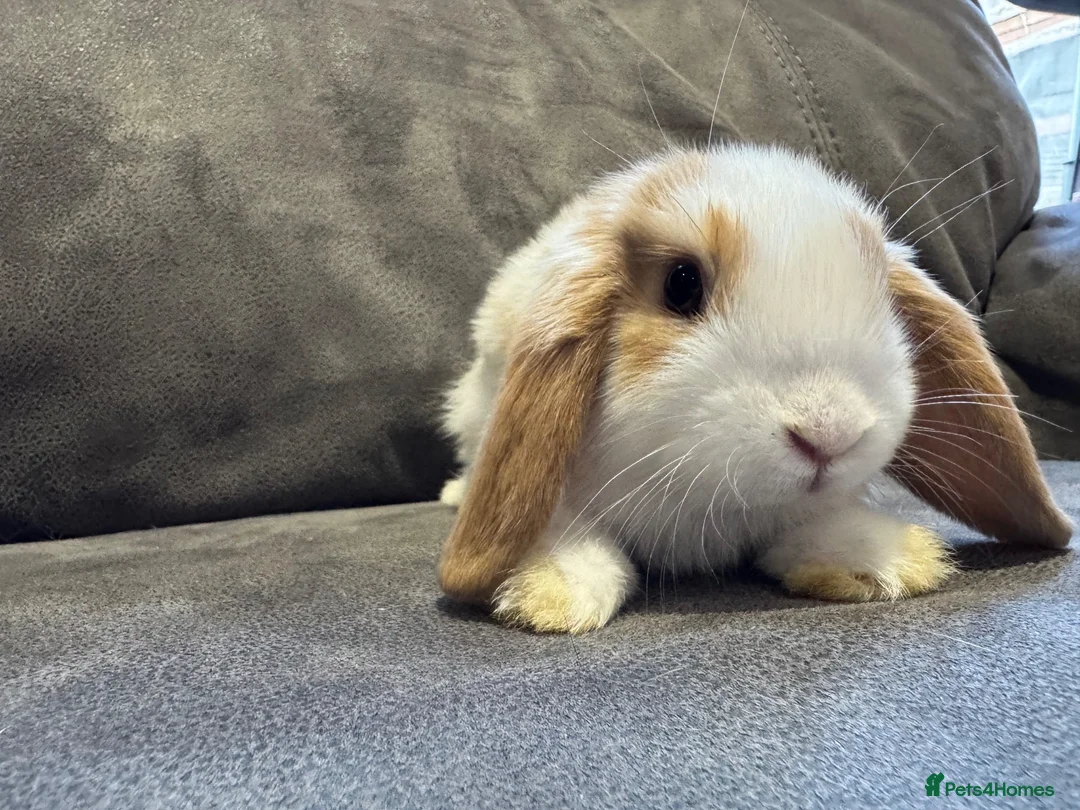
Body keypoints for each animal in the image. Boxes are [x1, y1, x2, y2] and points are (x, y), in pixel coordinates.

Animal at [437, 143, 1073, 634]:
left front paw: (884, 559)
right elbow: (567, 530)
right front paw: (551, 593)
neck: (706, 503)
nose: (829, 434)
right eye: (681, 284)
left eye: (884, 301)